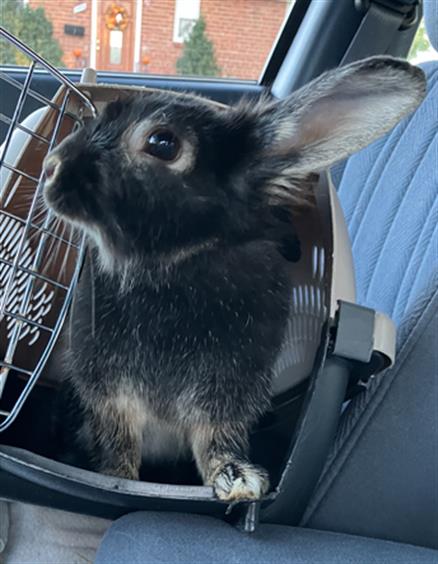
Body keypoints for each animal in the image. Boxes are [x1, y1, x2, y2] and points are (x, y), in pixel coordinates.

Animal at [43, 57, 424, 502]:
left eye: (162, 143)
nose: (51, 166)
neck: (175, 261)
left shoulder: (228, 390)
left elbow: (215, 436)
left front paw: (238, 479)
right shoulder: (107, 390)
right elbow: (118, 438)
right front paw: (116, 475)